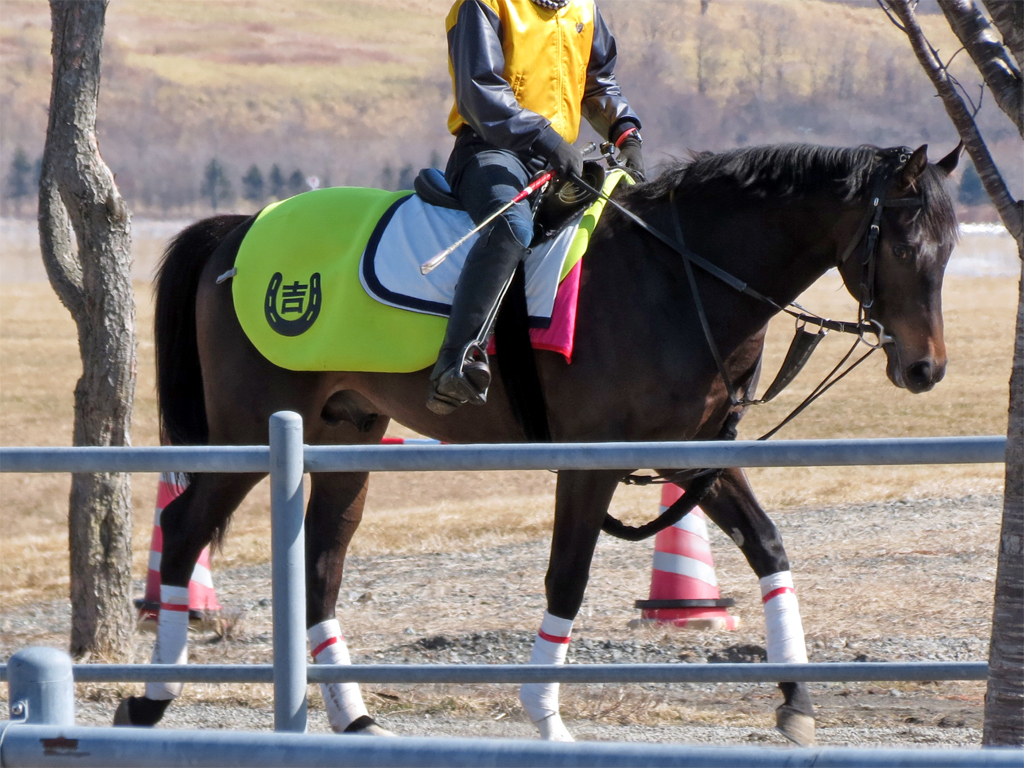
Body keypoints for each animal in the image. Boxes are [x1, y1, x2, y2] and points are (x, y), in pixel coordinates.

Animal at [116, 143, 962, 745]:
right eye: (902, 247)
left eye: (949, 251)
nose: (926, 368)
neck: (675, 276)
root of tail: (236, 230)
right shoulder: (589, 464)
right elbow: (567, 580)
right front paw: (545, 713)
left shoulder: (693, 458)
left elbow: (769, 547)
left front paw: (796, 699)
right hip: (246, 437)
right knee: (183, 531)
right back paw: (153, 698)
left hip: (343, 438)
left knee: (320, 569)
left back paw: (352, 716)